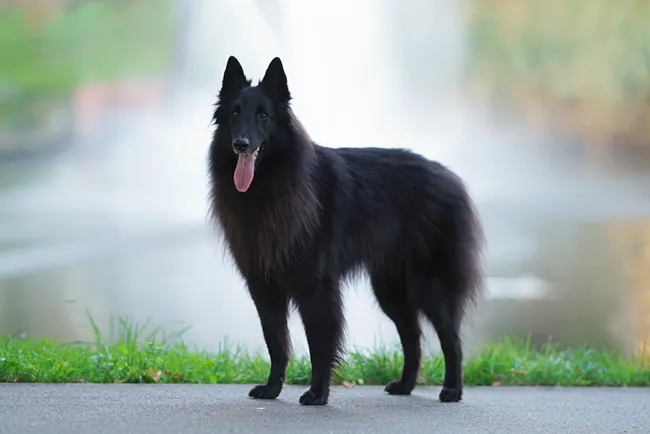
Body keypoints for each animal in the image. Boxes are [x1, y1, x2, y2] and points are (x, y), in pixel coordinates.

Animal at [205, 56, 484, 406]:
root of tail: (451, 178)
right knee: (413, 337)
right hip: (390, 290)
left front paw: (317, 392)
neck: (271, 185)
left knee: (451, 339)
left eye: (264, 115)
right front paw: (271, 390)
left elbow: (320, 341)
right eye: (235, 113)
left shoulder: (316, 287)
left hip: (429, 287)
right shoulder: (264, 288)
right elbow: (276, 343)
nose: (241, 144)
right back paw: (405, 385)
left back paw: (452, 390)